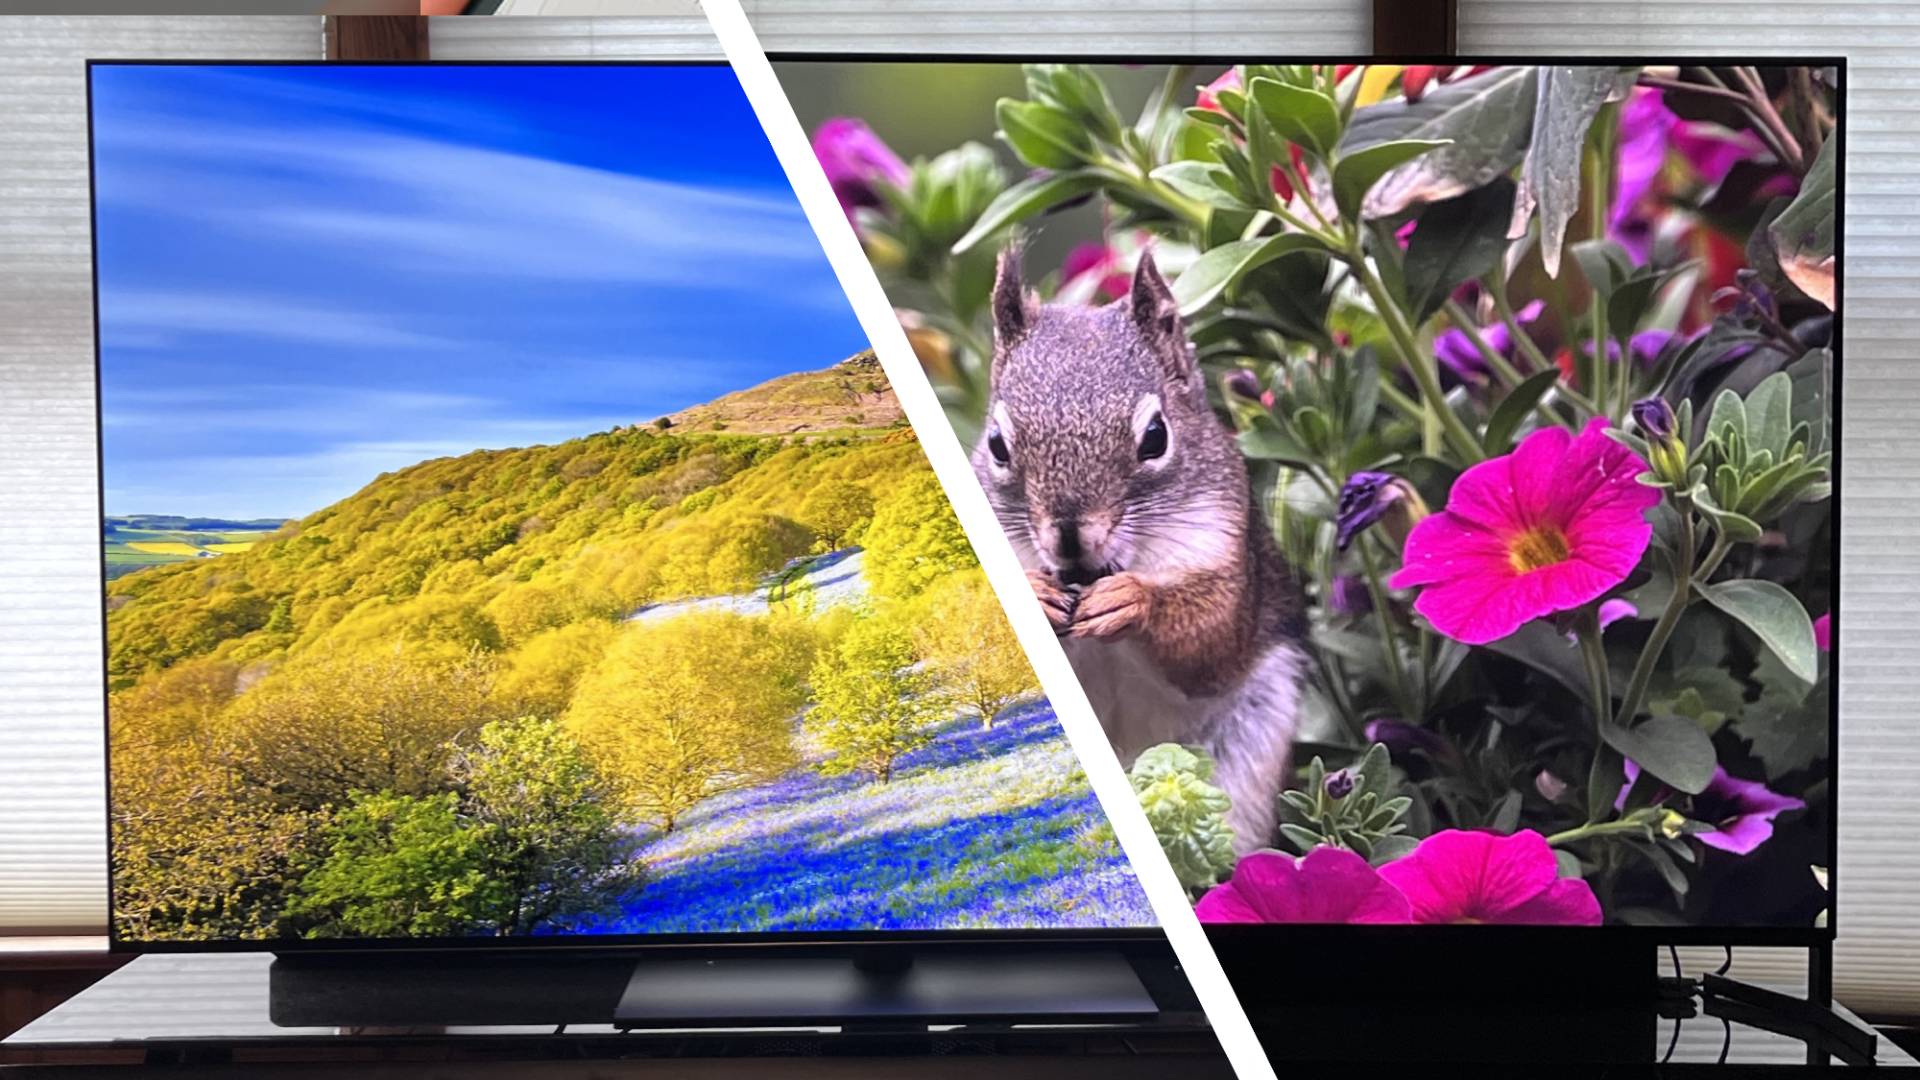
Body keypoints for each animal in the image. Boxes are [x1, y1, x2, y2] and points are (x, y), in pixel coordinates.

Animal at [971, 246, 1310, 855]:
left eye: (1156, 436)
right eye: (996, 445)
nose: (1068, 536)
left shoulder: (1226, 545)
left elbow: (1211, 640)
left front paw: (1132, 601)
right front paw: (1035, 593)